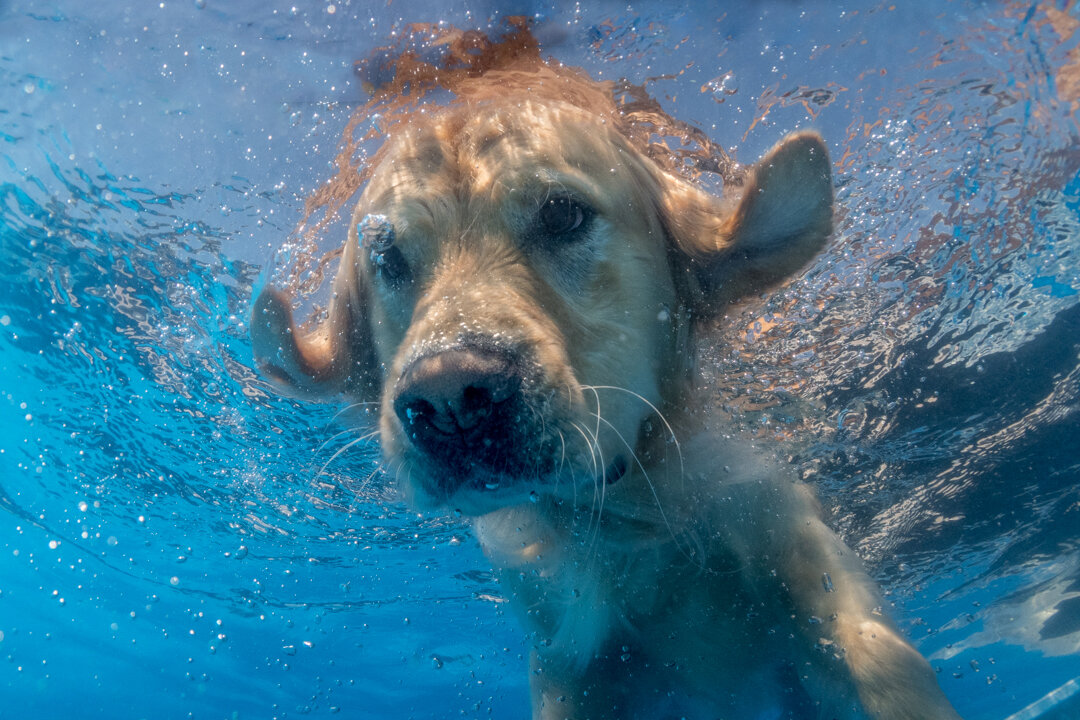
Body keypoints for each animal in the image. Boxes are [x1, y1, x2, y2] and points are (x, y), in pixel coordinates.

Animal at [250, 63, 963, 720]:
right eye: (387, 258)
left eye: (562, 214)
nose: (449, 399)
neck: (624, 512)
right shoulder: (568, 654)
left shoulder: (789, 536)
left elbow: (875, 661)